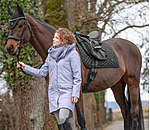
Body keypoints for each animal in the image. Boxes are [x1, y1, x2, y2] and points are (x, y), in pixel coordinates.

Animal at [6, 4, 144, 130]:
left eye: (20, 25)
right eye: (9, 26)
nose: (9, 48)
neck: (59, 54)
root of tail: (133, 47)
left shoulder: (77, 92)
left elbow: (81, 120)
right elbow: (62, 122)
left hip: (132, 82)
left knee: (134, 111)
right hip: (117, 85)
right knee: (125, 112)